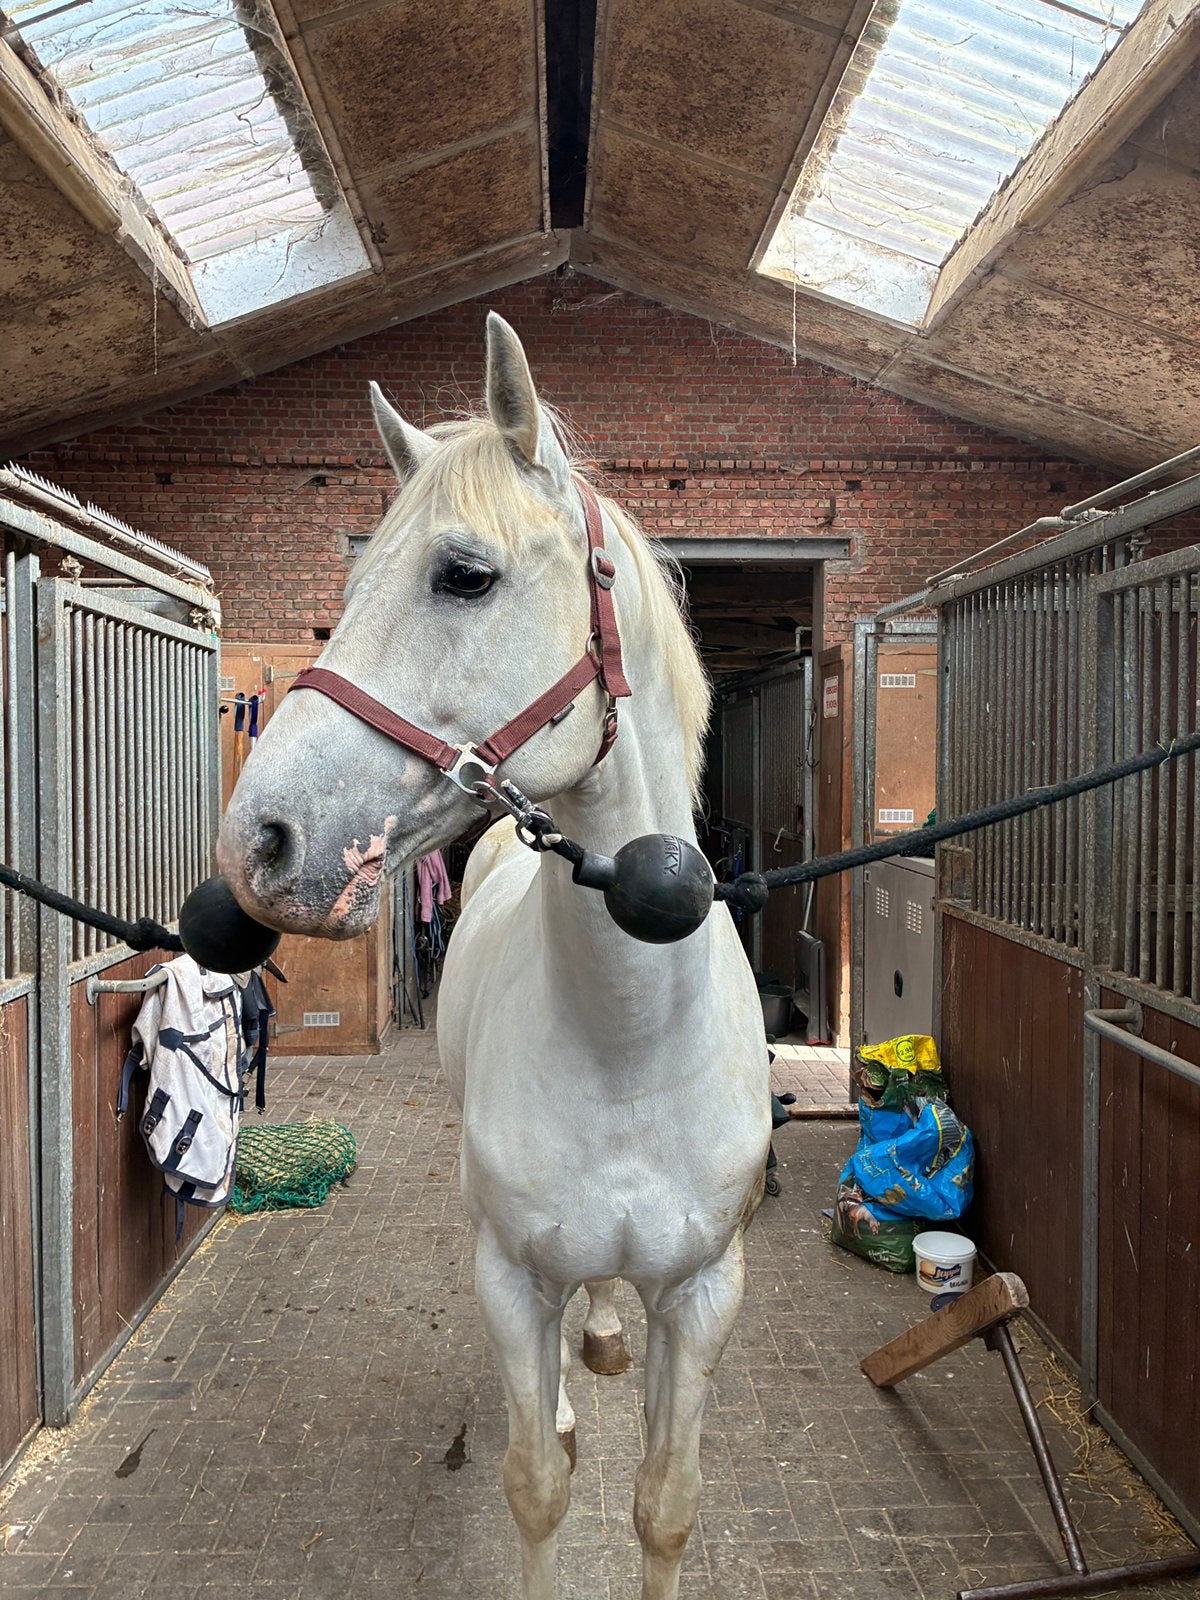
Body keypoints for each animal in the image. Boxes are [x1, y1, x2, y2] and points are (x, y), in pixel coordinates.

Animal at [218, 313, 771, 1600]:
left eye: (463, 574)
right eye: (349, 583)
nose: (258, 841)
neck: (630, 1041)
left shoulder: (706, 1297)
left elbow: (666, 1505)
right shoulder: (511, 1282)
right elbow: (537, 1485)